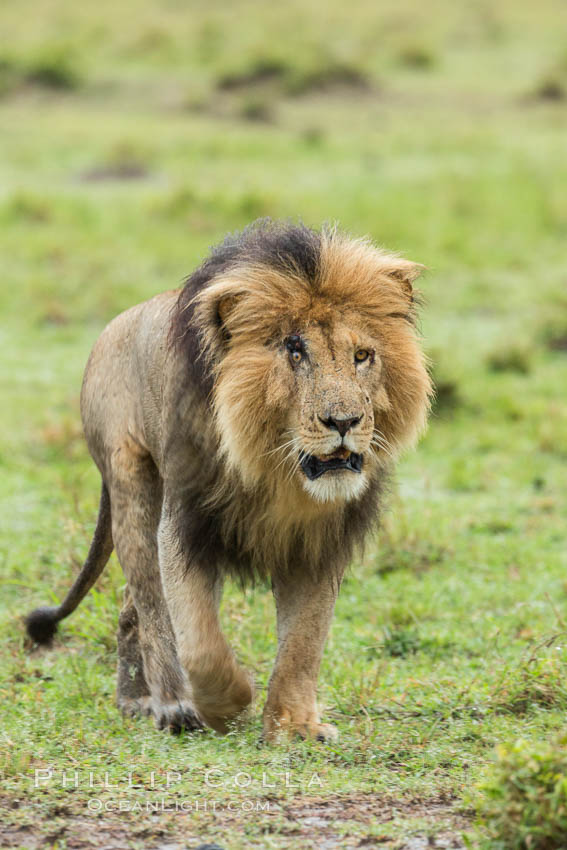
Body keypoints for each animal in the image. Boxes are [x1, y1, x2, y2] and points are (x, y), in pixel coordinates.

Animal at [24, 220, 432, 744]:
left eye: (362, 355)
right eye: (294, 350)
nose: (343, 421)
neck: (279, 470)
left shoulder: (320, 542)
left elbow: (305, 640)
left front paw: (295, 725)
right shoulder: (185, 525)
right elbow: (199, 642)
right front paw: (227, 704)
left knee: (131, 609)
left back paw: (134, 700)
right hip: (130, 480)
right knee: (150, 603)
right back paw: (173, 706)